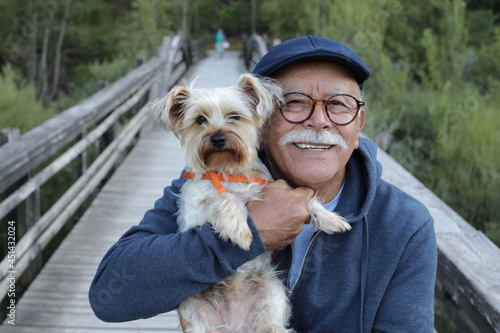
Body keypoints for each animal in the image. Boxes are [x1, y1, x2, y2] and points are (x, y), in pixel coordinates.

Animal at [155, 74, 352, 332]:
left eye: (234, 116)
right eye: (200, 120)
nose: (218, 138)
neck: (228, 171)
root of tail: (236, 323)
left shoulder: (273, 188)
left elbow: (307, 198)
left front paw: (331, 219)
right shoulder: (192, 215)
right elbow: (223, 198)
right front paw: (240, 230)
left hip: (272, 289)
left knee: (272, 324)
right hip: (194, 307)